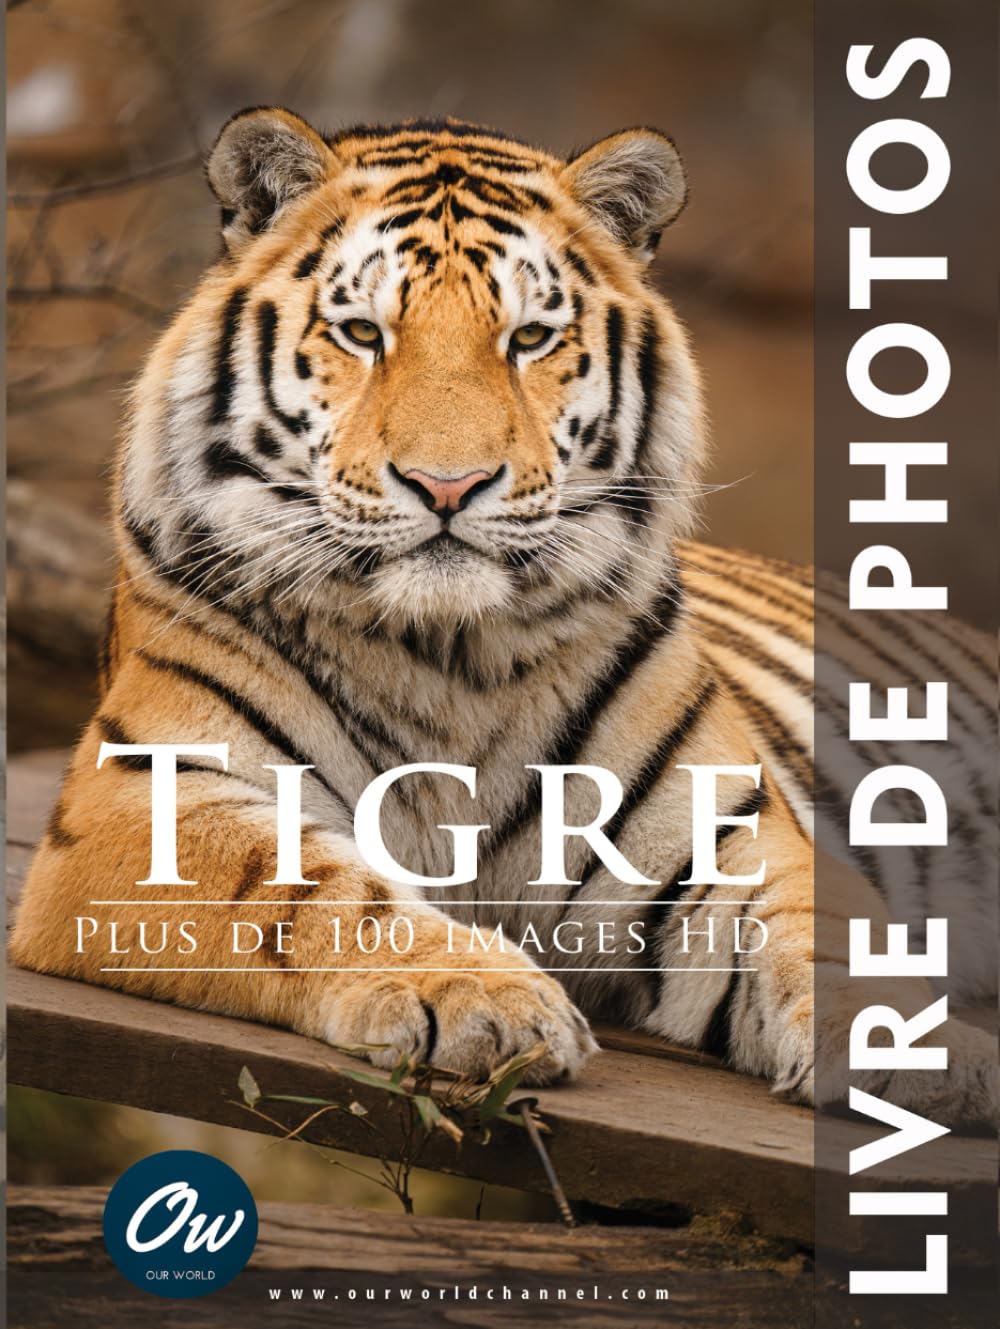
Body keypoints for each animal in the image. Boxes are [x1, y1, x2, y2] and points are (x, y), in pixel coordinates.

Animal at [11, 109, 996, 1126]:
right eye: (361, 332)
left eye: (529, 338)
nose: (449, 485)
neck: (451, 654)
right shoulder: (145, 806)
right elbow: (314, 890)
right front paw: (483, 997)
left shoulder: (730, 834)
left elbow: (822, 928)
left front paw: (915, 1046)